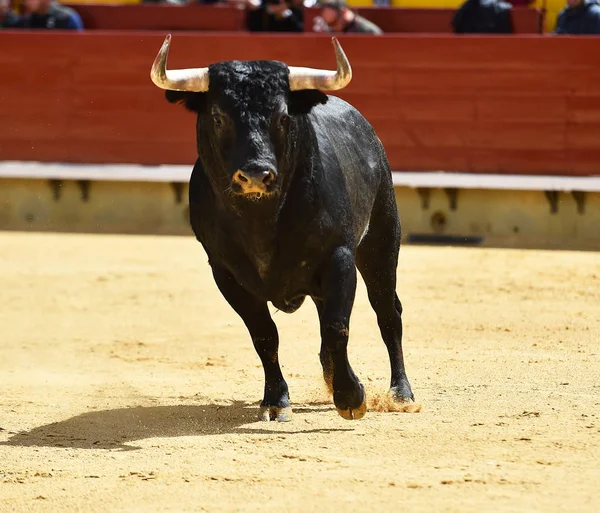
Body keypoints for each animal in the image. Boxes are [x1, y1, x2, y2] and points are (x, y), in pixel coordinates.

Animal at [154, 37, 418, 420]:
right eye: (218, 117)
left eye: (282, 116)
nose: (255, 174)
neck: (261, 220)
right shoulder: (225, 272)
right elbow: (265, 334)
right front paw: (275, 400)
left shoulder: (338, 256)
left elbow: (337, 326)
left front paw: (352, 397)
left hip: (381, 241)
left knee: (387, 311)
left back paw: (401, 395)